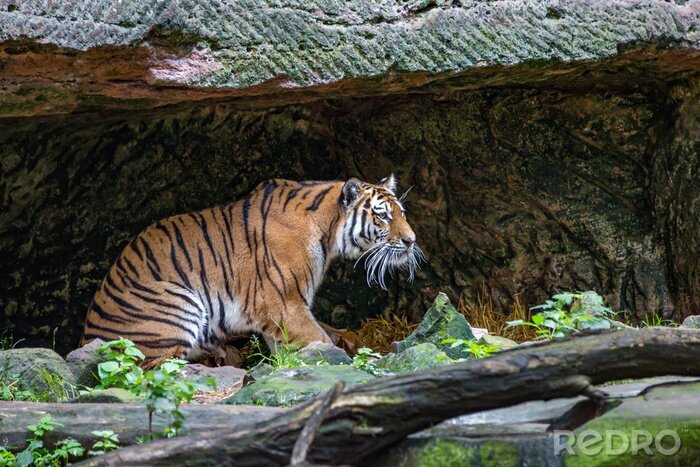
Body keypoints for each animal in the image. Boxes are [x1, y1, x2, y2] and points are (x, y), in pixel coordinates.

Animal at [80, 176, 424, 366]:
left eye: (401, 213)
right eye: (382, 216)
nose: (411, 241)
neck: (328, 230)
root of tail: (86, 337)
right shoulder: (285, 305)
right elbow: (319, 340)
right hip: (178, 302)